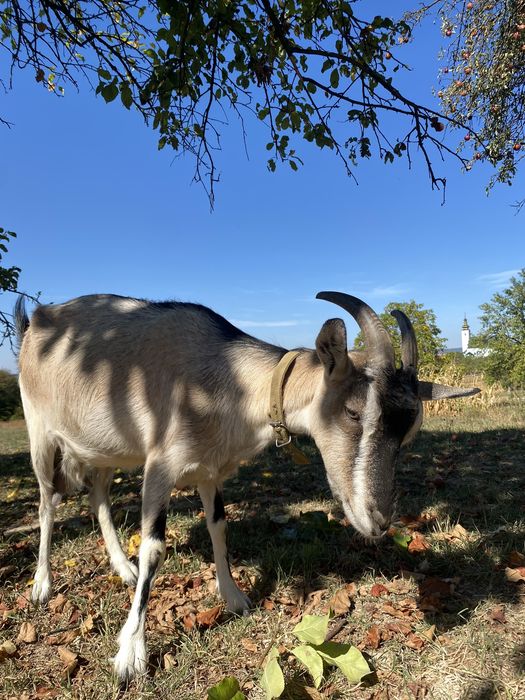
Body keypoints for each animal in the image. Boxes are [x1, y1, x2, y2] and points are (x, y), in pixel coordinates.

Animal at [15, 291, 478, 682]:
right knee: (47, 503)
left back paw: (122, 569)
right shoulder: (161, 464)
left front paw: (235, 598)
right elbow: (154, 549)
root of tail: (36, 319)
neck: (226, 382)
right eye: (351, 412)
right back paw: (42, 585)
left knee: (98, 495)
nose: (379, 520)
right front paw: (130, 654)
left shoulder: (209, 470)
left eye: (409, 433)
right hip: (41, 433)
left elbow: (219, 526)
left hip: (103, 450)